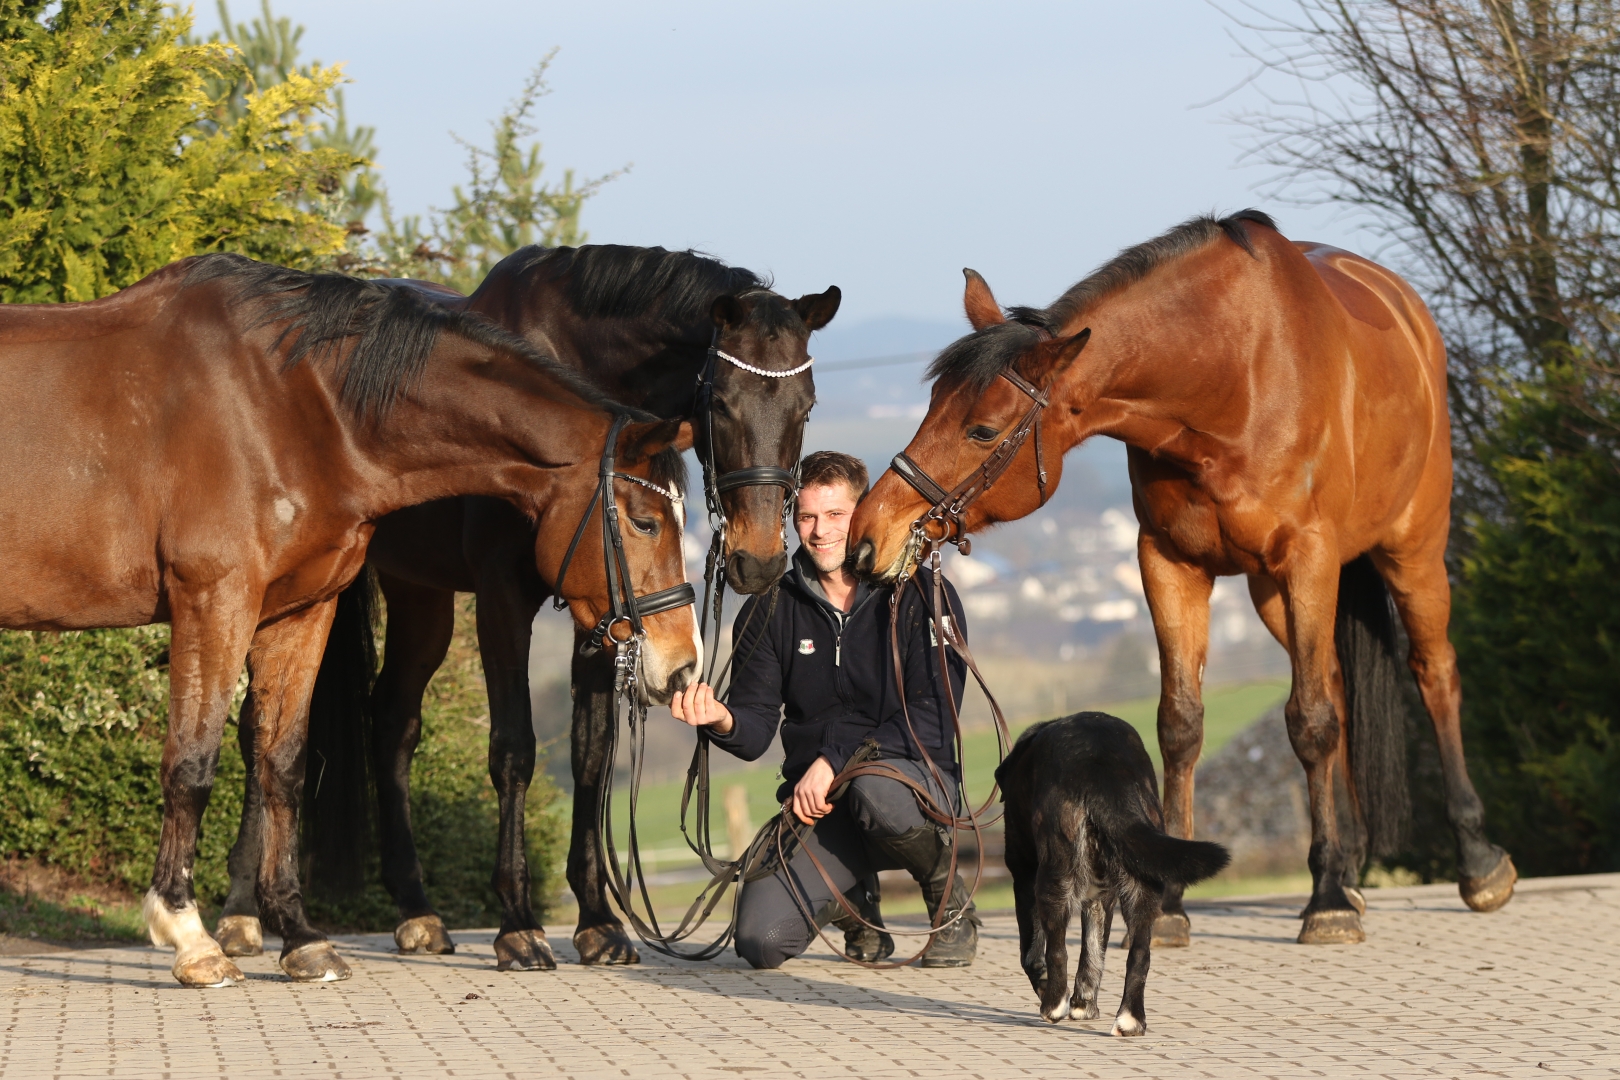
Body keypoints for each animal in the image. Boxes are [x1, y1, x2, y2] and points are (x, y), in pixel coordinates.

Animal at [0, 253, 698, 986]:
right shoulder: (214, 602)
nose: (682, 667)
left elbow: (282, 762)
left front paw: (301, 938)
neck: (286, 406)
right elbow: (191, 764)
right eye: (644, 521)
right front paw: (189, 936)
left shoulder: (300, 611)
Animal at [214, 245, 838, 969]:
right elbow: (513, 748)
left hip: (421, 595)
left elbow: (591, 752)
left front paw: (598, 921)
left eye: (806, 406)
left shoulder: (602, 606)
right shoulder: (503, 597)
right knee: (261, 722)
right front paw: (517, 924)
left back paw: (416, 909)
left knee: (392, 722)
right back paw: (239, 911)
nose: (759, 561)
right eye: (723, 402)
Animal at [848, 211, 1517, 946]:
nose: (868, 536)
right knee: (1339, 687)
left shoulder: (1308, 558)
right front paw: (1170, 901)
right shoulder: (1170, 563)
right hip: (1273, 596)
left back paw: (1475, 862)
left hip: (1410, 550)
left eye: (981, 429)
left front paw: (1326, 904)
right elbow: (1182, 723)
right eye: (931, 403)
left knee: (1433, 673)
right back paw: (1348, 867)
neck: (1231, 381)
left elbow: (1309, 722)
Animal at [995, 711, 1230, 1035]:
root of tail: (1103, 770)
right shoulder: (1100, 897)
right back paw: (1130, 1019)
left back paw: (1053, 1005)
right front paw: (1083, 1006)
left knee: (1057, 949)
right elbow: (1093, 952)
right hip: (1142, 882)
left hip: (1054, 877)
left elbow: (1033, 953)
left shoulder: (1024, 876)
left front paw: (1054, 995)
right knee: (1140, 955)